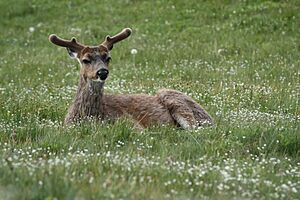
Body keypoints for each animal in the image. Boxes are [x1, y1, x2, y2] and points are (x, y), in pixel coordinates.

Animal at [49, 27, 213, 130]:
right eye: (85, 60)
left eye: (108, 58)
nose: (102, 72)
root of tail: (211, 119)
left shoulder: (131, 123)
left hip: (175, 99)